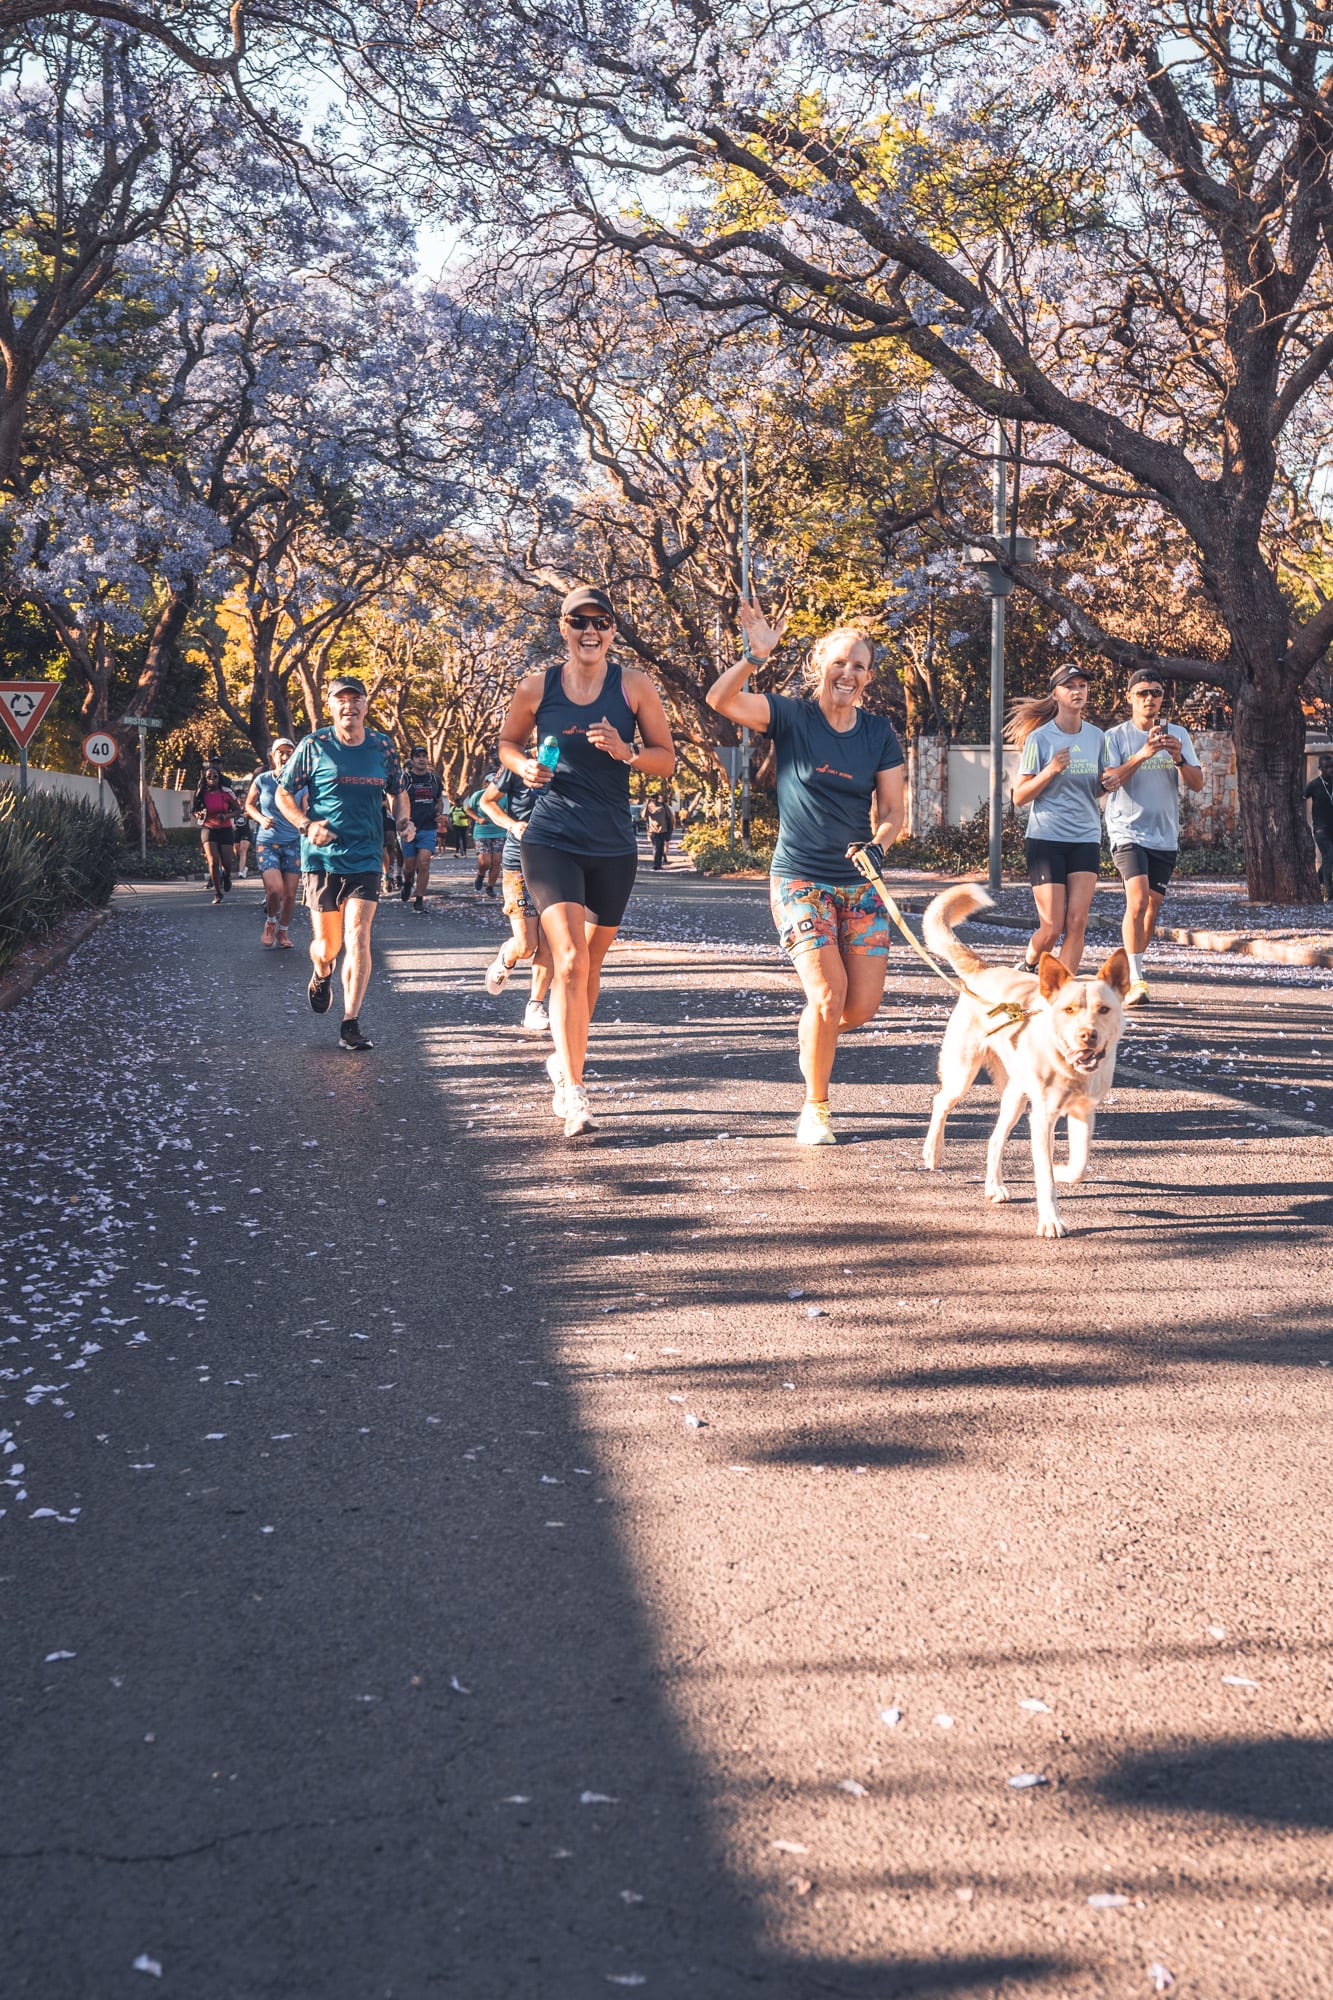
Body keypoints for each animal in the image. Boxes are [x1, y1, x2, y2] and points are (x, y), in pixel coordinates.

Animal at [920, 888, 1128, 1232]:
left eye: (1104, 1009)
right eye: (1068, 1009)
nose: (1088, 1035)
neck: (1068, 1067)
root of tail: (983, 970)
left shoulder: (1083, 1111)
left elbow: (1080, 1164)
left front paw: (1065, 1170)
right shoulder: (1042, 1118)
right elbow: (1044, 1177)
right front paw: (1051, 1221)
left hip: (1015, 1097)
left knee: (994, 1140)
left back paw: (994, 1186)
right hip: (962, 1075)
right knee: (940, 1102)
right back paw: (933, 1152)